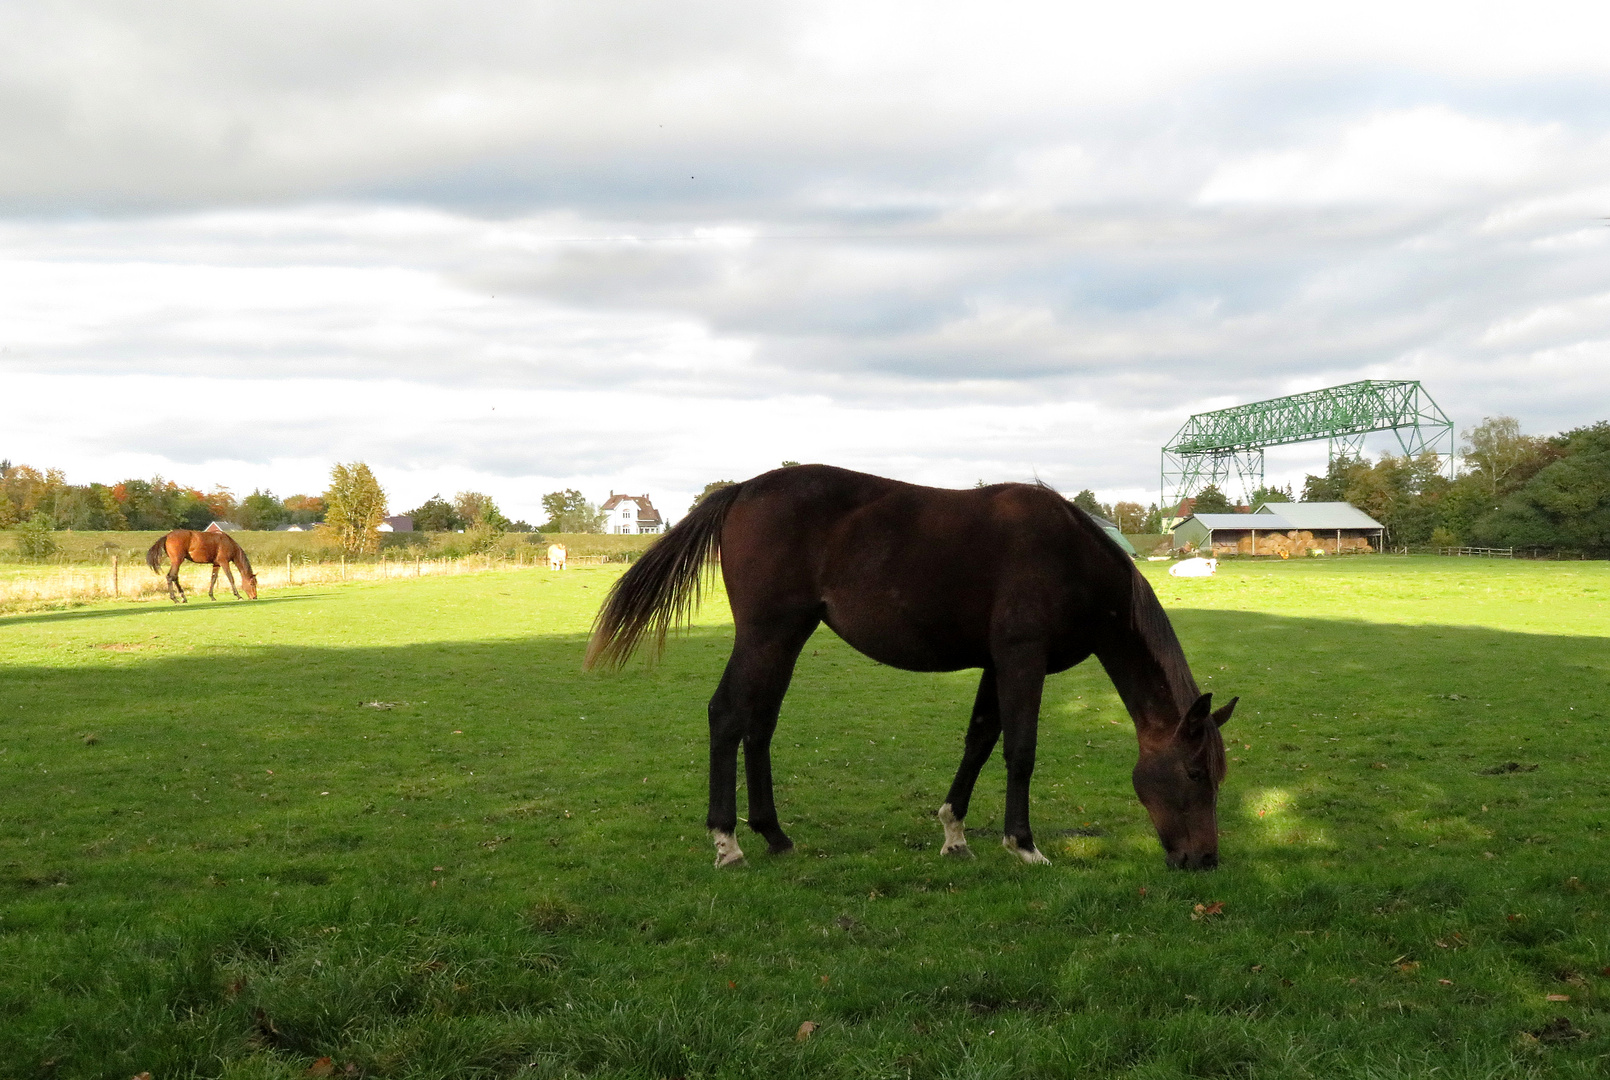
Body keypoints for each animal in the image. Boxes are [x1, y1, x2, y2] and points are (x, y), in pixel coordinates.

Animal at [589, 469, 1230, 875]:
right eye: (1196, 774)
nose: (1205, 860)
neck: (1071, 555)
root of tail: (744, 489)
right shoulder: (1023, 659)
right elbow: (1020, 749)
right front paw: (1023, 845)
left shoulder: (996, 664)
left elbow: (979, 740)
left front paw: (954, 833)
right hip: (766, 633)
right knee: (728, 715)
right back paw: (727, 842)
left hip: (786, 637)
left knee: (759, 723)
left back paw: (774, 834)